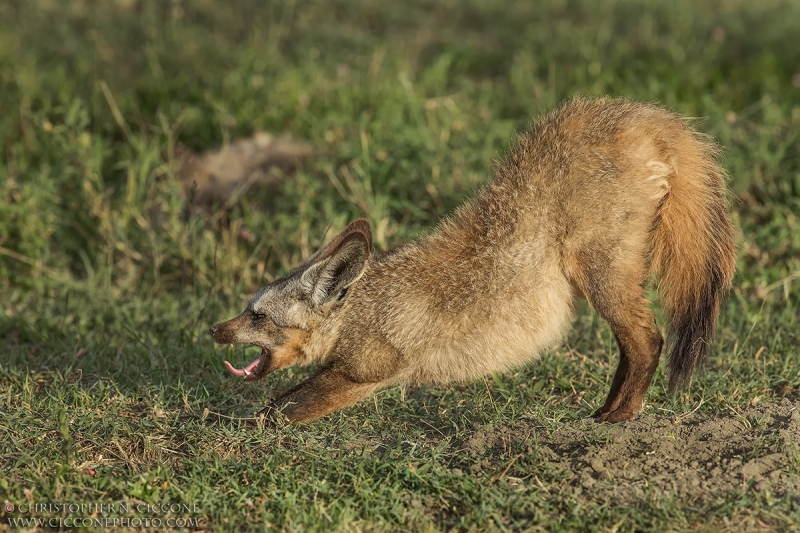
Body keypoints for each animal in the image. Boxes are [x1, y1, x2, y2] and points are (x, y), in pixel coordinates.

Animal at [209, 97, 736, 424]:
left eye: (257, 315)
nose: (213, 329)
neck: (365, 308)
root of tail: (640, 112)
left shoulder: (368, 372)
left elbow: (278, 412)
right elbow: (281, 399)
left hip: (602, 277)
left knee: (650, 341)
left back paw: (619, 416)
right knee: (638, 346)